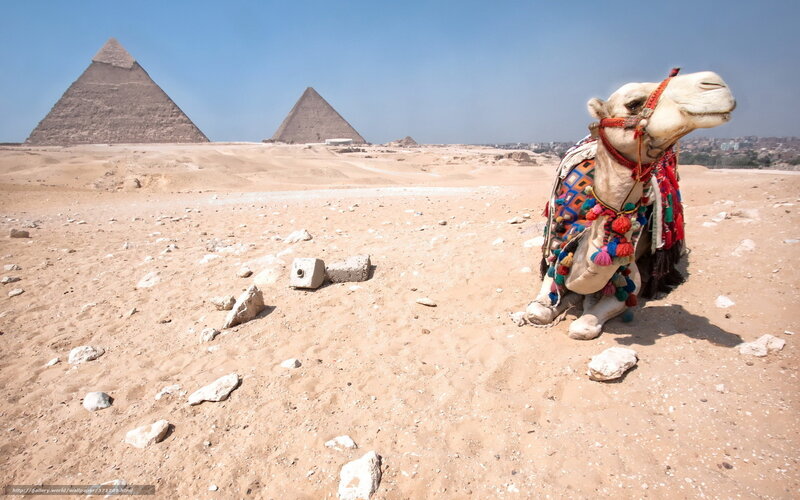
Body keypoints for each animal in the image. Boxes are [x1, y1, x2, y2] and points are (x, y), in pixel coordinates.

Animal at [523, 69, 735, 339]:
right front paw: (567, 300)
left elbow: (584, 325)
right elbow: (537, 311)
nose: (713, 82)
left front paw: (585, 303)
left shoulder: (629, 279)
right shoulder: (556, 255)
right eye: (633, 104)